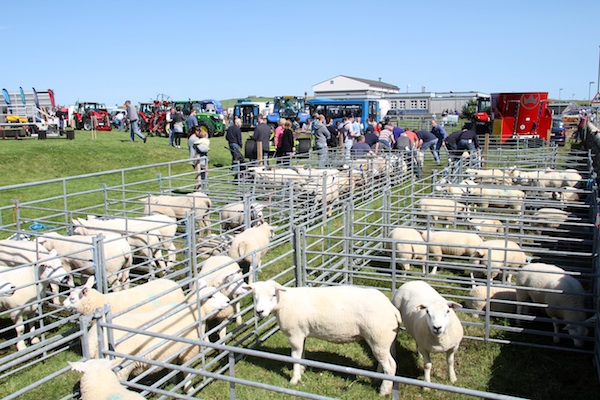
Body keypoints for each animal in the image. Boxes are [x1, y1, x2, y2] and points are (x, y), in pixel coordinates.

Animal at [246, 282, 400, 396]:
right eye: (254, 296)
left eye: (273, 294)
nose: (259, 312)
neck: (285, 302)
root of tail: (392, 308)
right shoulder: (302, 333)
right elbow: (302, 354)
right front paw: (302, 370)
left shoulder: (295, 334)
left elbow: (295, 357)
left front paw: (294, 379)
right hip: (382, 341)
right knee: (384, 361)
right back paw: (377, 379)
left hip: (378, 336)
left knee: (391, 366)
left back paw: (384, 391)